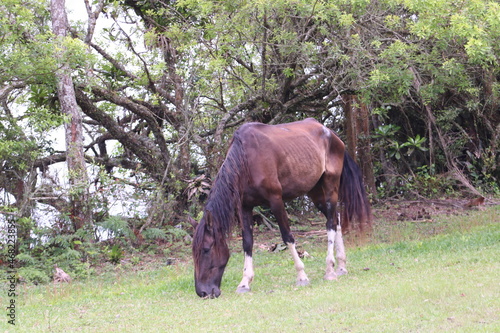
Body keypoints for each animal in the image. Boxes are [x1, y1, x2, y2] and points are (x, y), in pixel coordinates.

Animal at [191, 118, 372, 296]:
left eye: (206, 249)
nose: (203, 292)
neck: (246, 159)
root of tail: (332, 135)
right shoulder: (244, 207)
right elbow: (247, 243)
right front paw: (244, 283)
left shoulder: (276, 201)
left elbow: (287, 237)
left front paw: (302, 276)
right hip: (315, 192)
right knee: (336, 219)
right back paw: (341, 267)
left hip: (330, 187)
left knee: (330, 225)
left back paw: (330, 270)